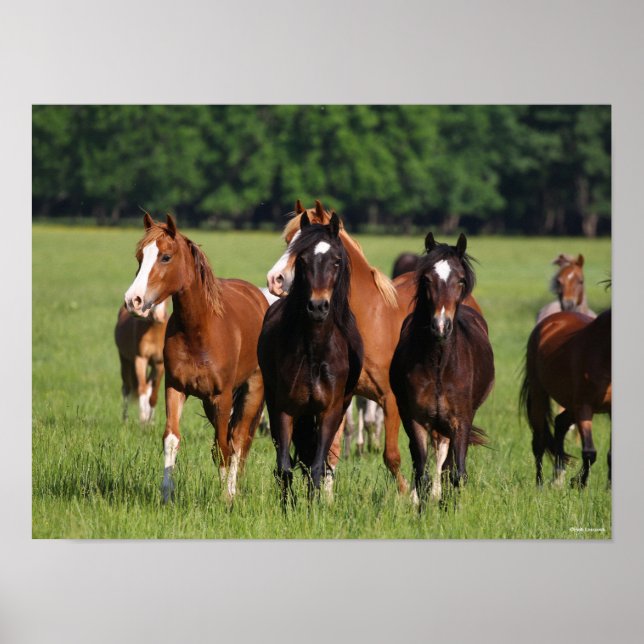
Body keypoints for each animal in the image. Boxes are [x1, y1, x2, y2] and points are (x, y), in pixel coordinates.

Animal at [124, 213, 268, 502]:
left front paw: (226, 498)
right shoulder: (175, 388)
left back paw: (232, 490)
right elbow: (171, 439)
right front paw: (166, 495)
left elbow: (225, 446)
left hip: (252, 390)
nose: (133, 300)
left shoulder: (222, 396)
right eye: (139, 256)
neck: (199, 330)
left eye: (165, 257)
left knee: (237, 438)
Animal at [258, 212, 363, 503]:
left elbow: (317, 466)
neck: (315, 351)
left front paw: (313, 506)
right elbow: (284, 467)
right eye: (302, 259)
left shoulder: (330, 412)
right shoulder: (284, 409)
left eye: (336, 261)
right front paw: (288, 507)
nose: (317, 306)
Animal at [266, 200, 482, 492]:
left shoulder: (390, 400)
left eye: (303, 247)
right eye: (290, 241)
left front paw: (409, 496)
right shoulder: (340, 398)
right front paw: (327, 497)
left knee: (442, 445)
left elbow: (392, 456)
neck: (369, 318)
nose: (274, 280)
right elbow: (331, 453)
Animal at [390, 233, 495, 507]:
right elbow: (422, 474)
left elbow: (457, 473)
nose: (440, 326)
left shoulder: (461, 421)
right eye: (427, 279)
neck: (439, 365)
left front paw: (451, 508)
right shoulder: (416, 419)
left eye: (460, 280)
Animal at [520, 309, 611, 487]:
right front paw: (579, 484)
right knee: (539, 442)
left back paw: (558, 478)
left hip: (570, 405)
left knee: (560, 423)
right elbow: (589, 452)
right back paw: (540, 484)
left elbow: (611, 455)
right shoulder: (584, 406)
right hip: (539, 394)